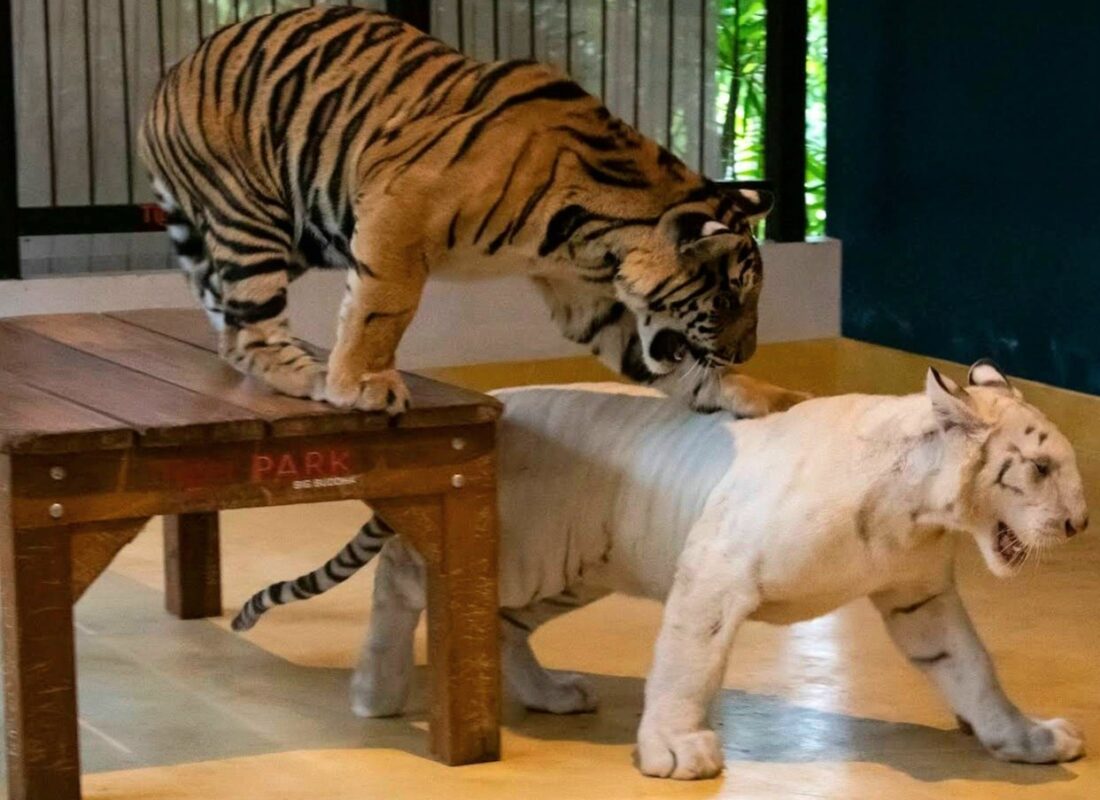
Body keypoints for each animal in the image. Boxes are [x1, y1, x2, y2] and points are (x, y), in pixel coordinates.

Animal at [138, 4, 807, 417]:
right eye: (727, 299)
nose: (745, 353)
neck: (595, 240)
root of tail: (164, 81)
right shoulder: (397, 212)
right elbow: (383, 309)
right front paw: (363, 383)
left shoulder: (587, 297)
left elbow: (652, 357)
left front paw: (758, 394)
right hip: (255, 216)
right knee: (250, 329)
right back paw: (307, 376)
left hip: (300, 234)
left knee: (230, 325)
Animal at [232, 359, 1089, 778]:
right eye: (1041, 469)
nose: (1081, 524)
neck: (919, 509)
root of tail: (494, 397)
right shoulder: (718, 571)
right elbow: (690, 665)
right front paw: (677, 752)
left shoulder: (919, 596)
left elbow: (971, 668)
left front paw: (1024, 738)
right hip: (520, 554)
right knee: (404, 579)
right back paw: (374, 692)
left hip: (566, 565)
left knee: (497, 626)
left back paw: (549, 694)